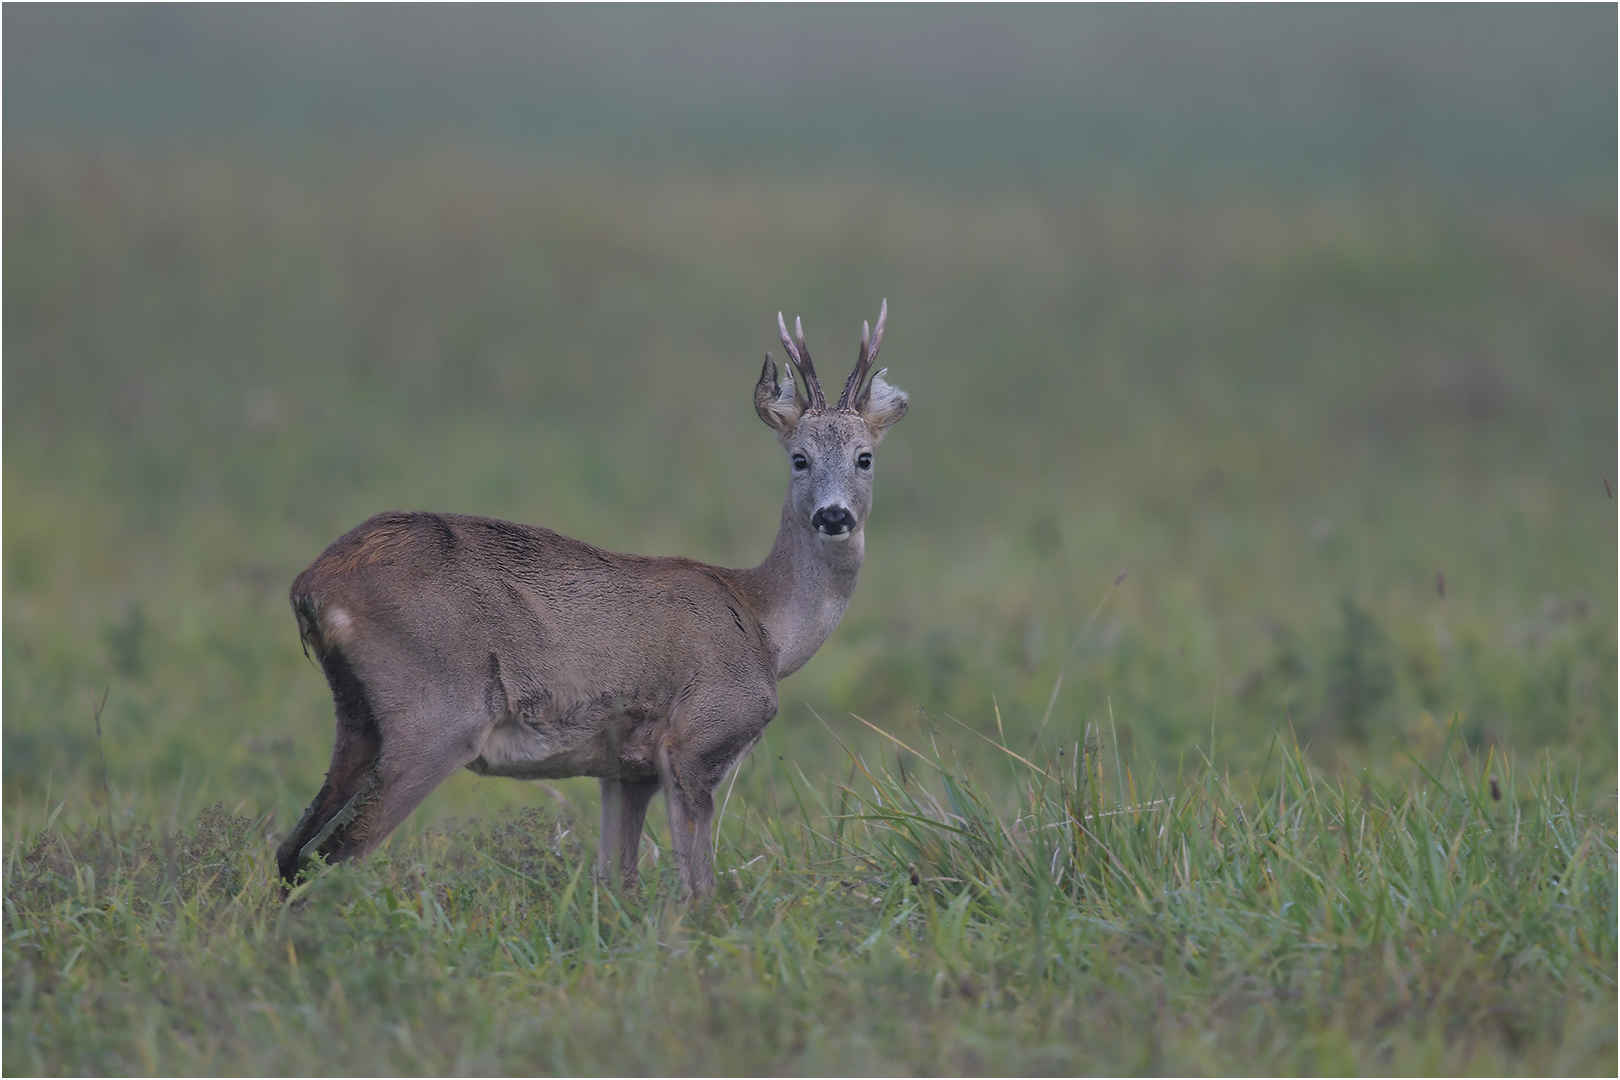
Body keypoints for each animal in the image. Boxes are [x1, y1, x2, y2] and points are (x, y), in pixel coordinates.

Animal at [280, 302, 913, 893]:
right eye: (799, 458)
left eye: (865, 457)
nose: (833, 515)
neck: (767, 626)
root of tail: (312, 584)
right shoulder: (695, 739)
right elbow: (698, 888)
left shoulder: (626, 768)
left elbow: (616, 880)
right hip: (436, 712)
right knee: (331, 853)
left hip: (360, 720)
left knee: (290, 851)